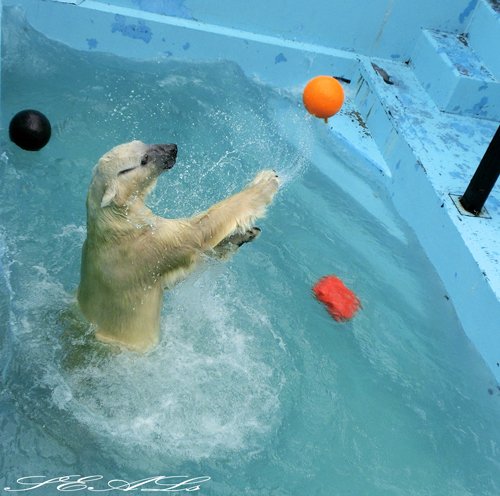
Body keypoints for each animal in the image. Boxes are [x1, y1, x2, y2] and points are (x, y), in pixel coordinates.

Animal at [78, 140, 282, 350]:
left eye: (142, 142)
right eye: (144, 159)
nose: (172, 148)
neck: (113, 223)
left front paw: (244, 235)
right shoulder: (148, 246)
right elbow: (197, 231)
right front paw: (267, 181)